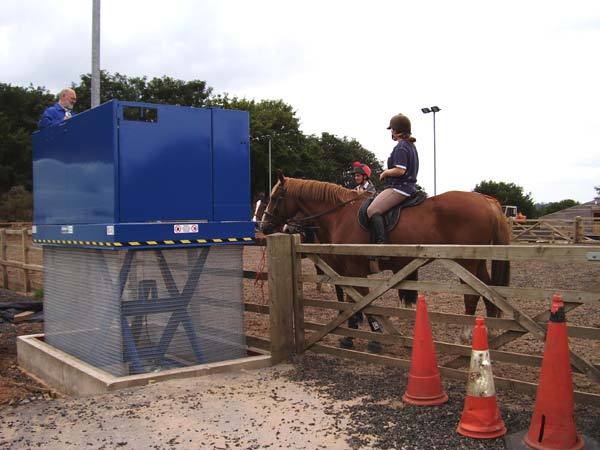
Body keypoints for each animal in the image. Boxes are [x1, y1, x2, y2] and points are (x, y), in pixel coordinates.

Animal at [260, 172, 508, 338]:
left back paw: (466, 334)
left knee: (472, 296)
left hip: (466, 263)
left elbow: (360, 300)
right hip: (477, 263)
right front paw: (353, 326)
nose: (264, 227)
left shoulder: (354, 270)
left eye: (274, 198)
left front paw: (371, 330)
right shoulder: (343, 270)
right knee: (490, 291)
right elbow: (352, 299)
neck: (339, 215)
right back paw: (492, 332)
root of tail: (486, 200)